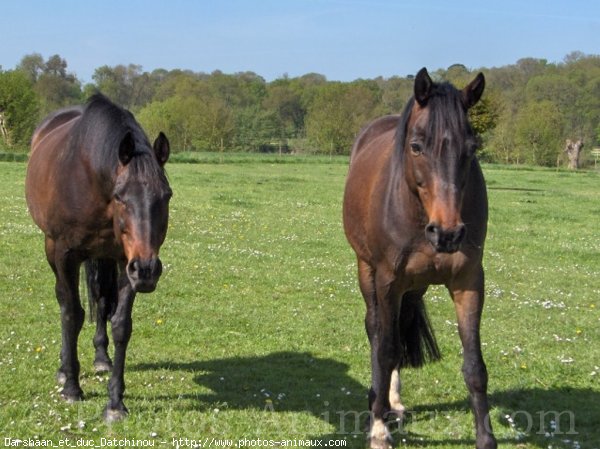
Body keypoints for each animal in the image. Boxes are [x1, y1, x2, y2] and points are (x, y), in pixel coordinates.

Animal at [25, 93, 171, 422]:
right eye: (120, 197)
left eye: (166, 195)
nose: (148, 270)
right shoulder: (66, 254)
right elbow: (71, 314)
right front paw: (72, 387)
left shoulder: (126, 262)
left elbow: (120, 324)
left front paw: (115, 403)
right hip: (52, 249)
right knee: (65, 302)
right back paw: (64, 367)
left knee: (102, 301)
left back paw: (102, 358)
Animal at [342, 67, 496, 448]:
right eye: (416, 146)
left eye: (472, 148)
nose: (448, 233)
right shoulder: (388, 282)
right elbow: (385, 349)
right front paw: (378, 430)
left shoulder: (469, 282)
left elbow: (475, 367)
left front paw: (486, 440)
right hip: (367, 272)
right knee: (377, 330)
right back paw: (380, 405)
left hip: (417, 286)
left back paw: (393, 402)